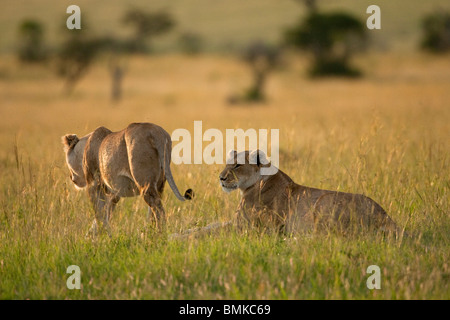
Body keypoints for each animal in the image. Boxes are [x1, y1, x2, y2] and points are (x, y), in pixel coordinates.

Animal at [61, 122, 192, 235]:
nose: (70, 177)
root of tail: (156, 132)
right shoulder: (113, 194)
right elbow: (106, 213)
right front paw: (94, 234)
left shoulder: (93, 185)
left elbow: (99, 214)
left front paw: (103, 236)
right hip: (160, 183)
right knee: (154, 208)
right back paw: (150, 232)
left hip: (145, 183)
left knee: (157, 208)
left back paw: (159, 234)